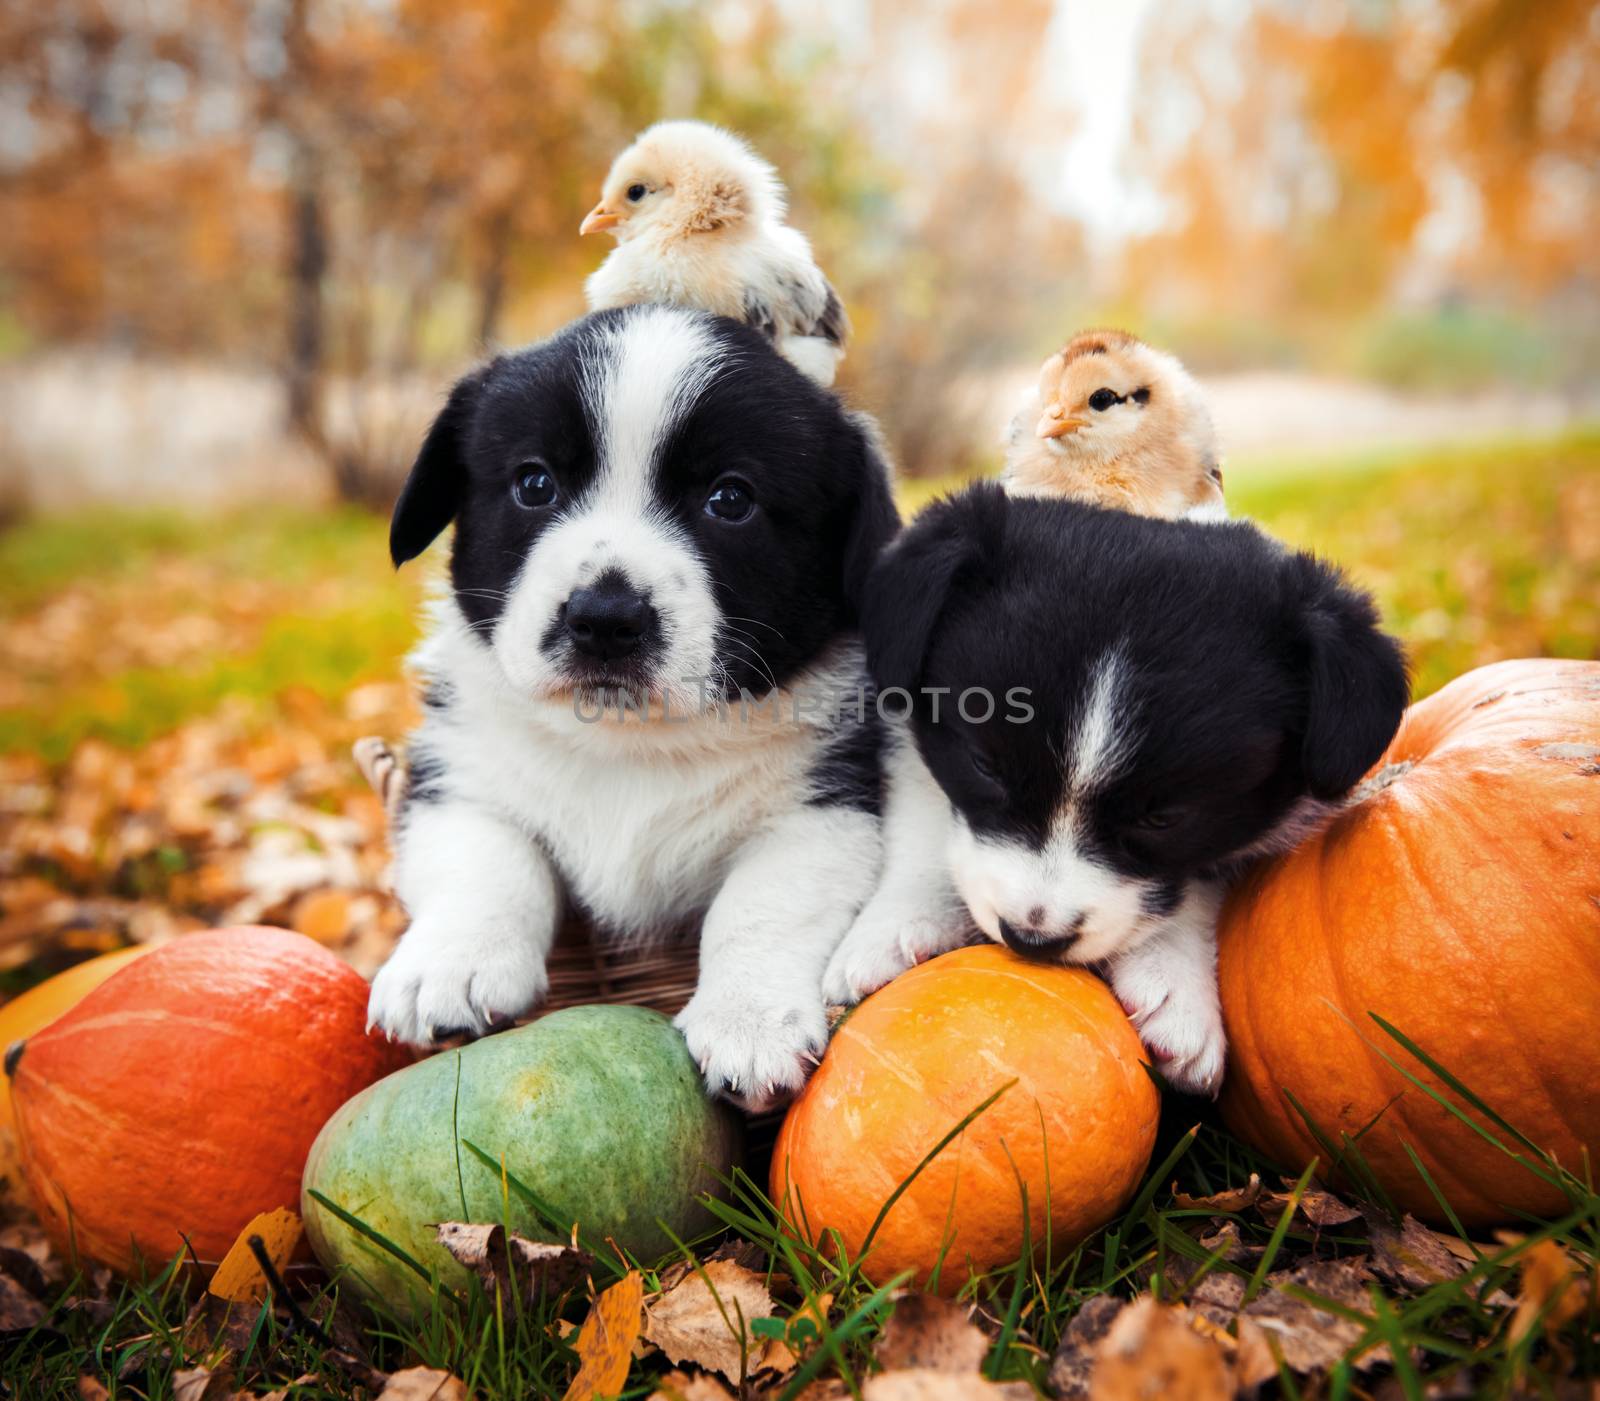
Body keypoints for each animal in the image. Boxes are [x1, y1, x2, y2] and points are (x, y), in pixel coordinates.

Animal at [368, 300, 908, 1113]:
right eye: (534, 483)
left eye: (730, 499)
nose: (604, 619)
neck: (629, 743)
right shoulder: (459, 775)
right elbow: (487, 861)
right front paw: (450, 966)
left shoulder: (827, 808)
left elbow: (761, 903)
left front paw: (749, 1021)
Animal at [819, 486, 1408, 1087]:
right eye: (986, 767)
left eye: (1163, 818)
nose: (1033, 939)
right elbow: (927, 811)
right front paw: (893, 925)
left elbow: (1194, 883)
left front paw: (1177, 990)